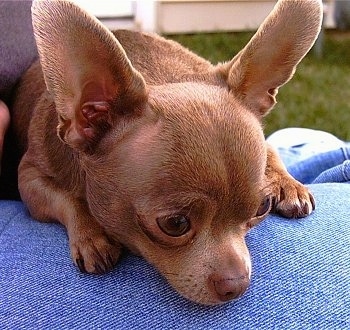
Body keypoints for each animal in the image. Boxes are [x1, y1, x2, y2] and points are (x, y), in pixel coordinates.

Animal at [8, 0, 322, 304]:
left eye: (262, 208)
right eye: (175, 224)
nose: (237, 284)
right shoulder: (29, 179)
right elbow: (68, 199)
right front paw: (90, 235)